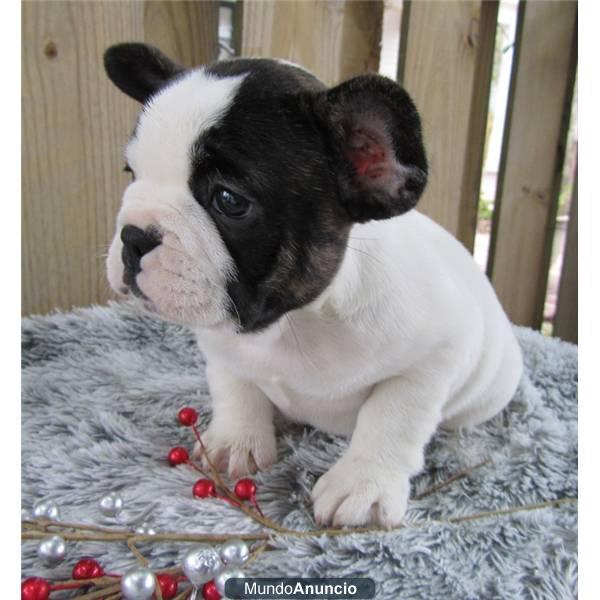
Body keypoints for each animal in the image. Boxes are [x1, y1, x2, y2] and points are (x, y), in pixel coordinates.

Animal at [105, 44, 524, 528]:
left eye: (229, 200)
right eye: (131, 173)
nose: (134, 236)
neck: (293, 323)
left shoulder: (432, 360)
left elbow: (392, 418)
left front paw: (363, 485)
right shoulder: (224, 347)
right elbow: (235, 388)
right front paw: (235, 443)